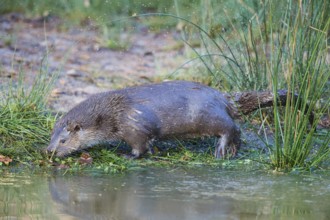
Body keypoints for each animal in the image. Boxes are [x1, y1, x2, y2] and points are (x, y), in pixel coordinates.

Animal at [46, 81, 312, 158]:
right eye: (51, 137)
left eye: (63, 141)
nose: (48, 151)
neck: (114, 112)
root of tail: (223, 96)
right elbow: (151, 143)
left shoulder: (133, 126)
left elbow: (139, 146)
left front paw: (127, 155)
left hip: (210, 116)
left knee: (232, 128)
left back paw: (223, 151)